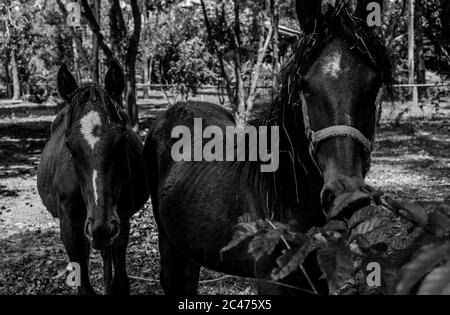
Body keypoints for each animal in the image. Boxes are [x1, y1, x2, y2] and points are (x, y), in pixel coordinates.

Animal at [37, 61, 149, 296]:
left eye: (122, 139)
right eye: (69, 145)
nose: (101, 227)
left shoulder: (121, 224)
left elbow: (119, 282)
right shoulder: (70, 227)